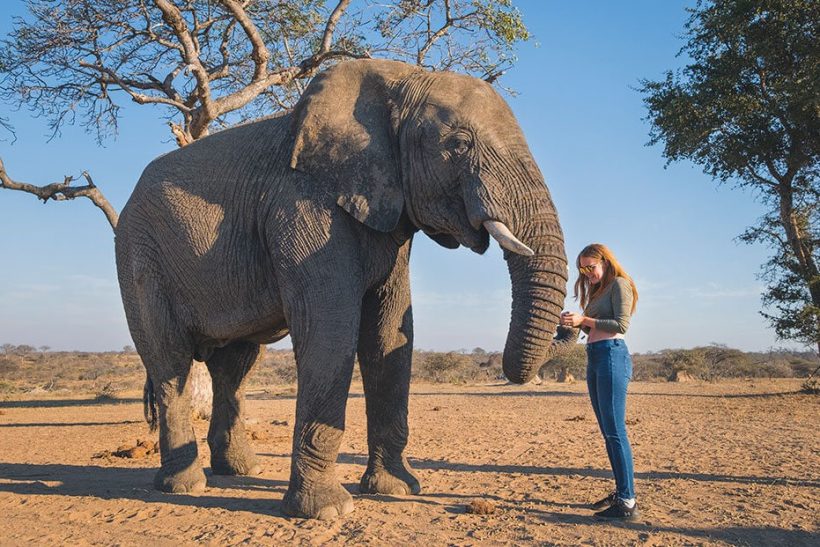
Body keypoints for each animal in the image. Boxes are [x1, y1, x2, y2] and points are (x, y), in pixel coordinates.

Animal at [115, 58, 578, 520]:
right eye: (459, 144)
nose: (570, 321)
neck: (395, 80)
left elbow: (389, 335)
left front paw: (396, 489)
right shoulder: (302, 206)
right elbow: (331, 330)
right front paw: (327, 511)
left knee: (235, 367)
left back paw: (240, 471)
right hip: (139, 257)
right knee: (170, 362)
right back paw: (184, 485)